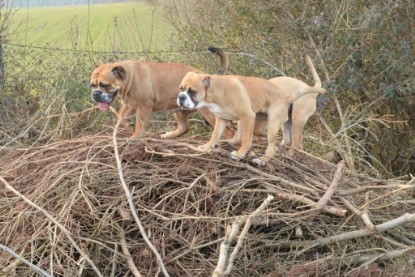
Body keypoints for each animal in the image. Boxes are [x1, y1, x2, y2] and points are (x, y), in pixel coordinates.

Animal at [90, 54, 234, 140]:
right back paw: (169, 135)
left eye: (105, 85)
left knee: (228, 132)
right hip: (180, 110)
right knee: (184, 127)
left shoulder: (144, 107)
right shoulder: (129, 106)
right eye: (92, 85)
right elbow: (120, 118)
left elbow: (139, 126)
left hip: (209, 114)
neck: (129, 77)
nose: (96, 94)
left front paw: (134, 137)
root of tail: (207, 76)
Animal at [177, 72, 316, 165]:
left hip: (274, 123)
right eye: (181, 88)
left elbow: (246, 140)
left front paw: (240, 154)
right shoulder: (221, 119)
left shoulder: (247, 116)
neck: (217, 90)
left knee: (274, 147)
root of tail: (286, 97)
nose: (181, 97)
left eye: (192, 91)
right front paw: (206, 147)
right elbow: (214, 136)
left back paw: (262, 160)